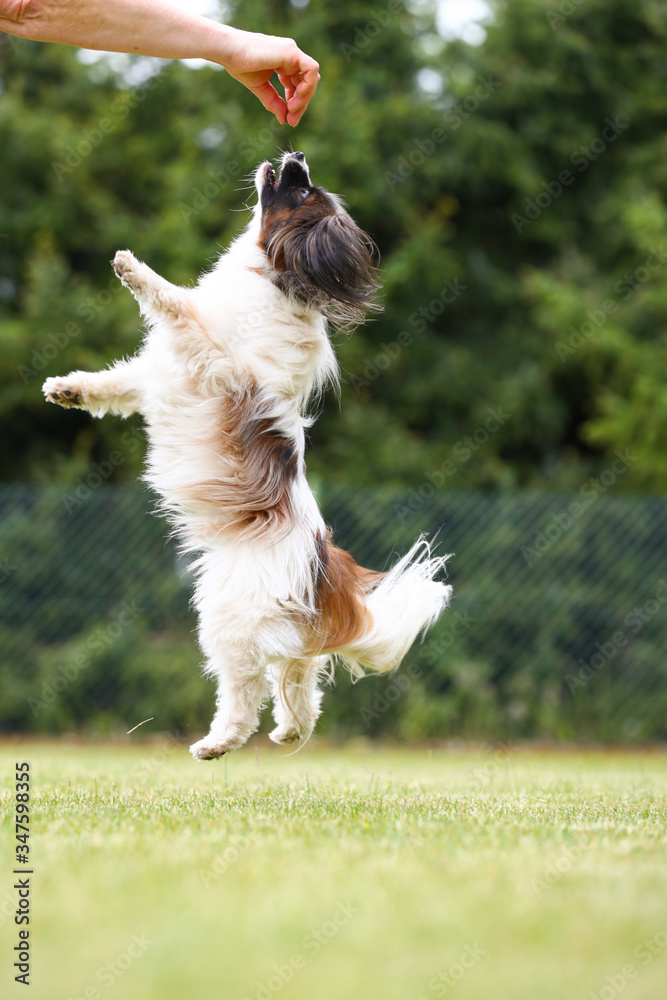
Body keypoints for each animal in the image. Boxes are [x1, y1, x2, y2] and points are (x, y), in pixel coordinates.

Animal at [43, 152, 451, 759]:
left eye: (302, 192)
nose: (295, 154)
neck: (272, 279)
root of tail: (323, 565)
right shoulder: (159, 376)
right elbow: (115, 385)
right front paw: (69, 389)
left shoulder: (209, 355)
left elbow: (174, 303)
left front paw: (132, 269)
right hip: (280, 627)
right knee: (302, 681)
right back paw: (289, 730)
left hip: (229, 619)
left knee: (246, 691)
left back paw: (216, 743)